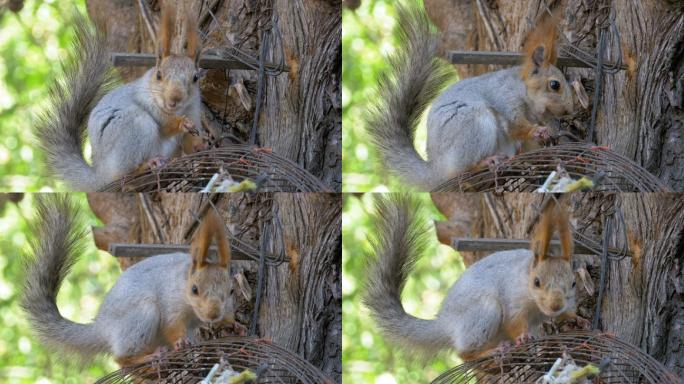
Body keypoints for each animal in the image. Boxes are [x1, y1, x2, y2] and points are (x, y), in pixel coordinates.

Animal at [21, 196, 236, 368]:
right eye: (194, 289)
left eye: (230, 291)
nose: (212, 314)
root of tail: (102, 328)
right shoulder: (170, 302)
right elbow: (172, 325)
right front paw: (180, 342)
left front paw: (233, 325)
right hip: (141, 316)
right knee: (122, 359)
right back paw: (148, 357)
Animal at [37, 1, 203, 190]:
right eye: (159, 75)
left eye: (195, 77)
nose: (173, 100)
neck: (178, 110)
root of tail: (101, 174)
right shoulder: (146, 101)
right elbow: (165, 124)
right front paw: (181, 123)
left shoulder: (194, 109)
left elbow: (190, 141)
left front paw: (200, 146)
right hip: (136, 128)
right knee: (124, 174)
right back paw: (147, 164)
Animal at [364, 194, 576, 362]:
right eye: (536, 282)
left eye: (573, 283)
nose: (555, 305)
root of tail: (445, 323)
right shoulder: (512, 298)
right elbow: (513, 321)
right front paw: (523, 337)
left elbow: (566, 314)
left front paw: (575, 319)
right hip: (484, 312)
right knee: (464, 354)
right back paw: (490, 352)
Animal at [366, 4, 576, 190]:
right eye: (555, 85)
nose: (569, 110)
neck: (523, 91)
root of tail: (438, 168)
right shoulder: (504, 97)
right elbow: (515, 125)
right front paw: (537, 131)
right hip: (473, 123)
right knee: (463, 170)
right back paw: (486, 162)